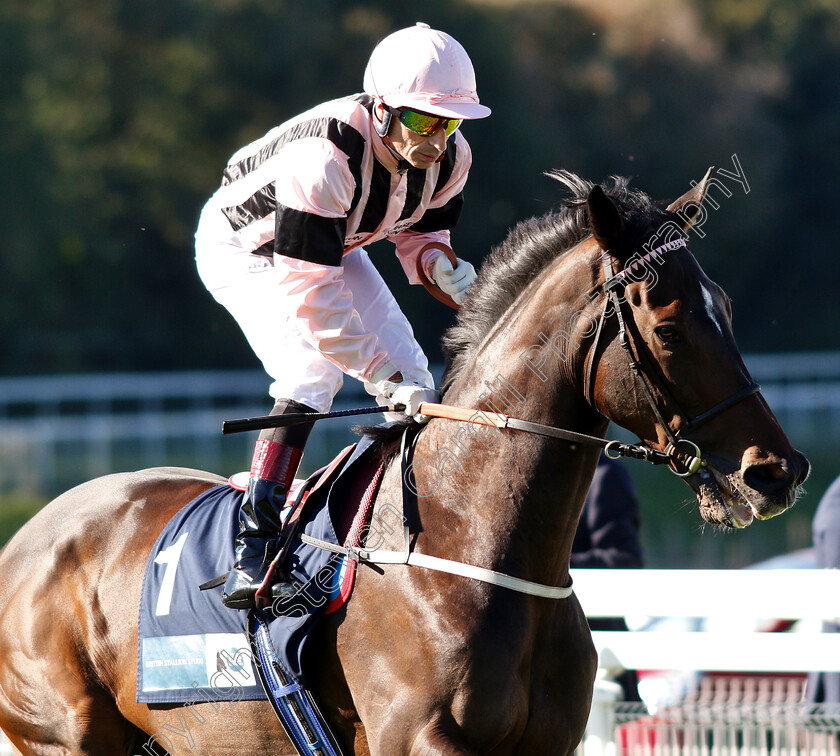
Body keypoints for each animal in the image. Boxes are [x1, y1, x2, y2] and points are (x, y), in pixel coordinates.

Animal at [0, 173, 812, 756]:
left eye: (726, 307)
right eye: (669, 328)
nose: (777, 471)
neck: (467, 543)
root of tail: (27, 537)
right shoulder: (415, 739)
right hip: (65, 737)